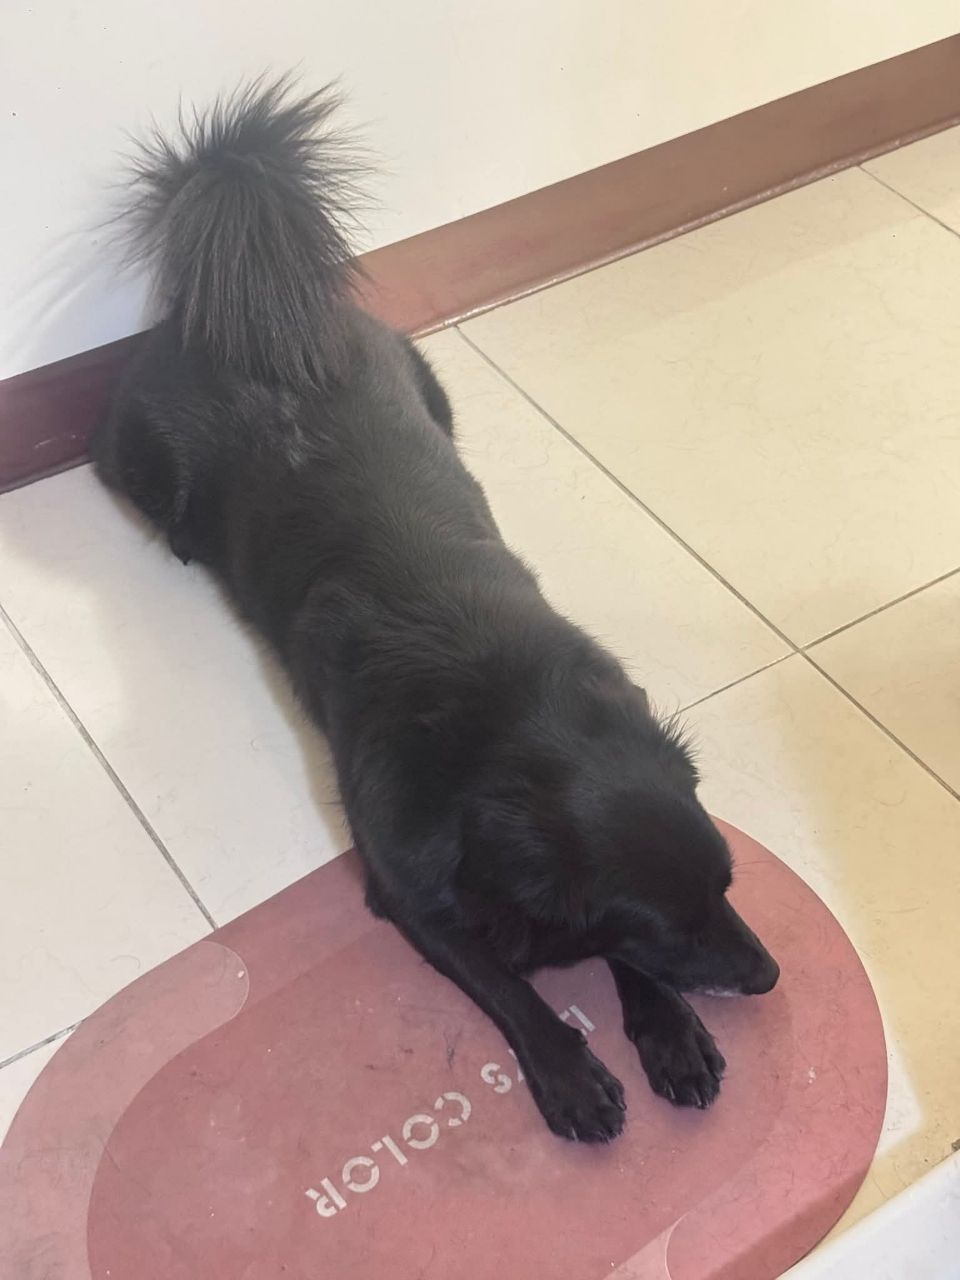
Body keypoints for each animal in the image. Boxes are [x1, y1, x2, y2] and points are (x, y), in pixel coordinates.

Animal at [92, 77, 779, 1142]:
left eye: (727, 885)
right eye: (676, 922)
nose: (769, 974)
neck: (515, 723)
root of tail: (232, 310)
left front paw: (665, 1031)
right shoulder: (407, 895)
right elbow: (511, 985)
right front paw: (572, 1071)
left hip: (434, 389)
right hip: (143, 468)